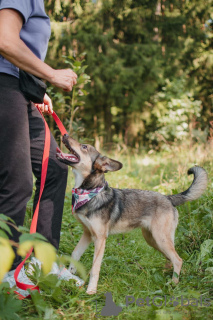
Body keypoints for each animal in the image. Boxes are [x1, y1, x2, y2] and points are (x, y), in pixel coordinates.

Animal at [55, 135, 207, 296]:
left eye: (84, 147)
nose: (64, 135)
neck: (89, 192)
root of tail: (168, 198)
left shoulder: (100, 239)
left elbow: (95, 268)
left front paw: (91, 290)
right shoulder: (88, 234)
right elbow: (75, 254)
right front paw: (70, 275)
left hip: (160, 238)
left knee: (178, 259)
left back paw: (173, 284)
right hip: (153, 239)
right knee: (171, 257)